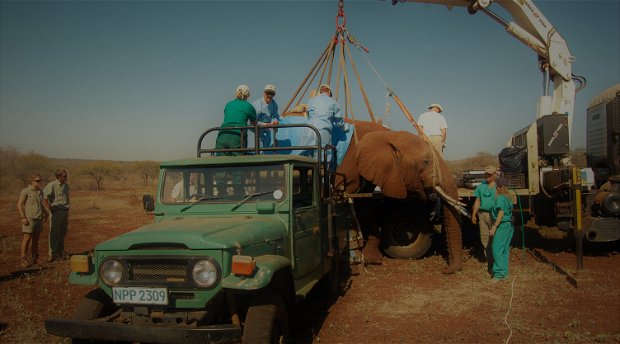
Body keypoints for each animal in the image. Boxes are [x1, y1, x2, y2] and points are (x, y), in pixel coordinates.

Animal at [336, 121, 462, 274]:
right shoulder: (348, 168)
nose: (445, 269)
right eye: (426, 161)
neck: (389, 135)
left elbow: (363, 204)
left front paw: (372, 258)